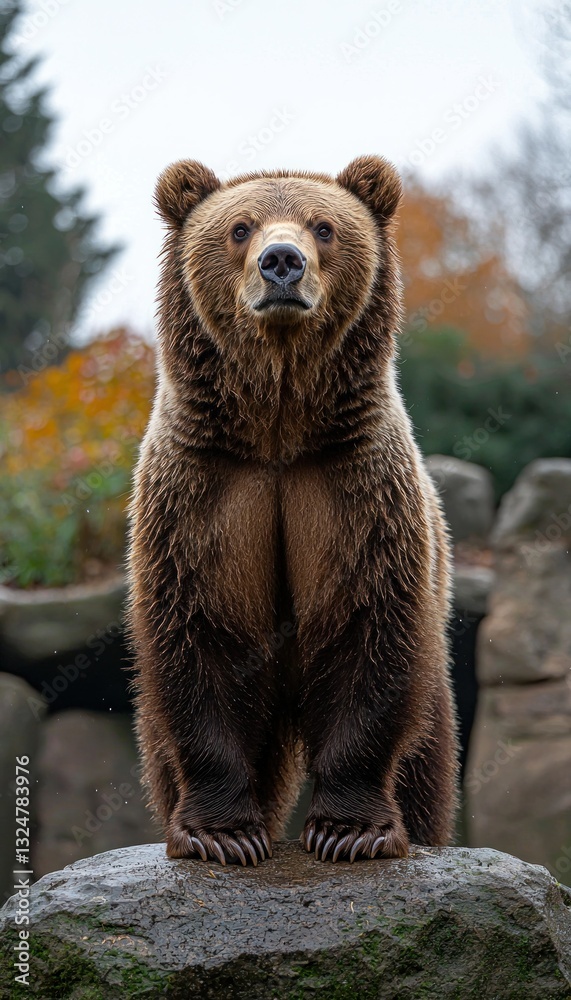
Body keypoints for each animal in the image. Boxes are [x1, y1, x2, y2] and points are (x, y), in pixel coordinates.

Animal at [127, 155, 459, 867]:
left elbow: (369, 629)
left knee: (427, 755)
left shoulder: (351, 486)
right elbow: (199, 635)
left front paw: (350, 831)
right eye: (240, 227)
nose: (282, 261)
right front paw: (222, 834)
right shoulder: (205, 490)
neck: (278, 427)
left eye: (325, 227)